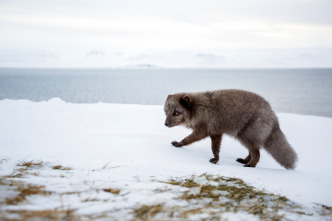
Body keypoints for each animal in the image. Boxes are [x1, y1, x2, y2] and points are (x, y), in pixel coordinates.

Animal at [165, 89, 296, 169]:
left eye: (176, 112)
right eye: (166, 112)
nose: (165, 124)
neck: (199, 108)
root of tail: (274, 116)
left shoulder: (203, 130)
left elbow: (187, 139)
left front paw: (178, 144)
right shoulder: (216, 132)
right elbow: (215, 148)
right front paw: (216, 159)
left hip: (246, 136)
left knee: (257, 153)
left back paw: (250, 165)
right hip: (244, 137)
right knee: (253, 151)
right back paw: (245, 160)